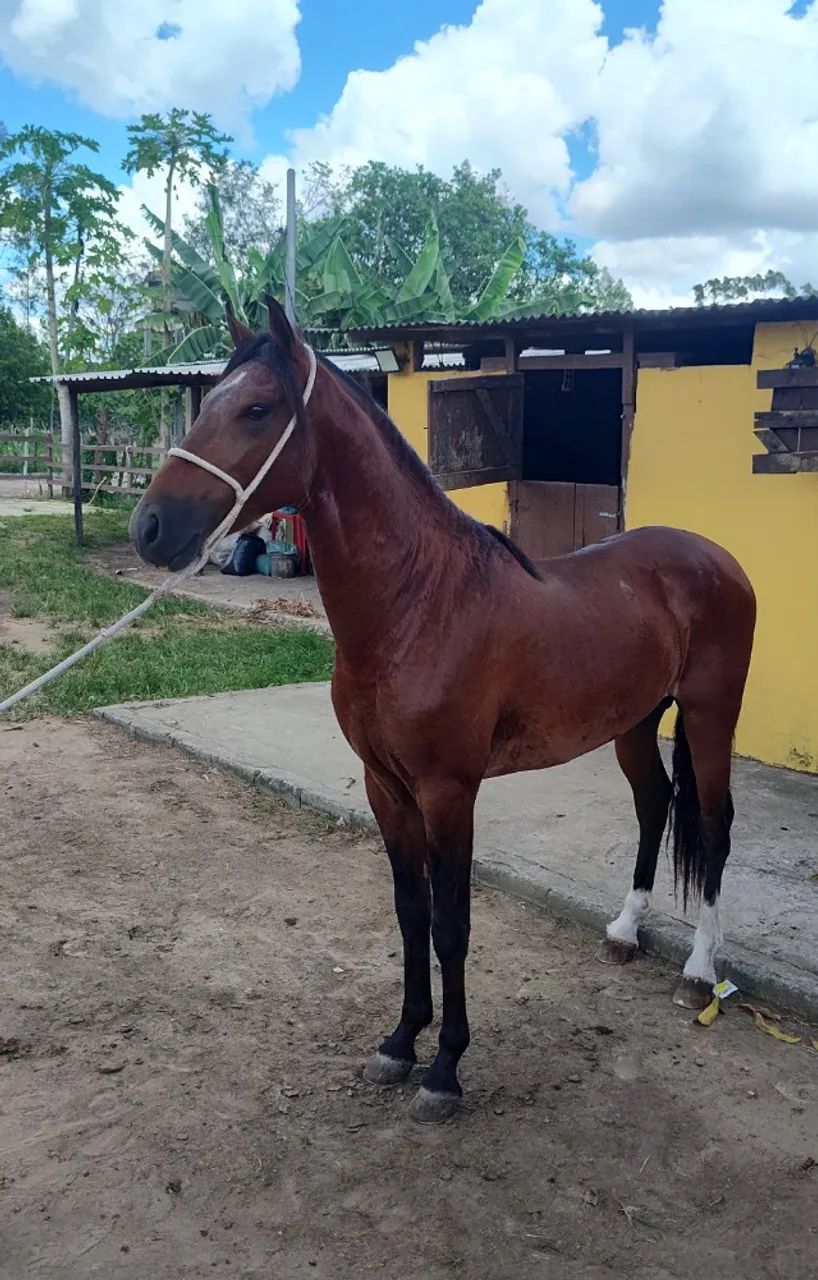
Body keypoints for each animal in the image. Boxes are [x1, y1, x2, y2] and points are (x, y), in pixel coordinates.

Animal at [131, 301, 756, 1124]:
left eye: (257, 409)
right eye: (210, 403)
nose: (148, 528)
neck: (418, 604)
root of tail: (718, 557)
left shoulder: (448, 793)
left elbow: (453, 926)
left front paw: (445, 1070)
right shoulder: (386, 788)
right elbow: (411, 913)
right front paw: (401, 1042)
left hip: (711, 715)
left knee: (713, 827)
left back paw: (698, 967)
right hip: (631, 722)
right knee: (655, 804)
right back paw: (625, 929)